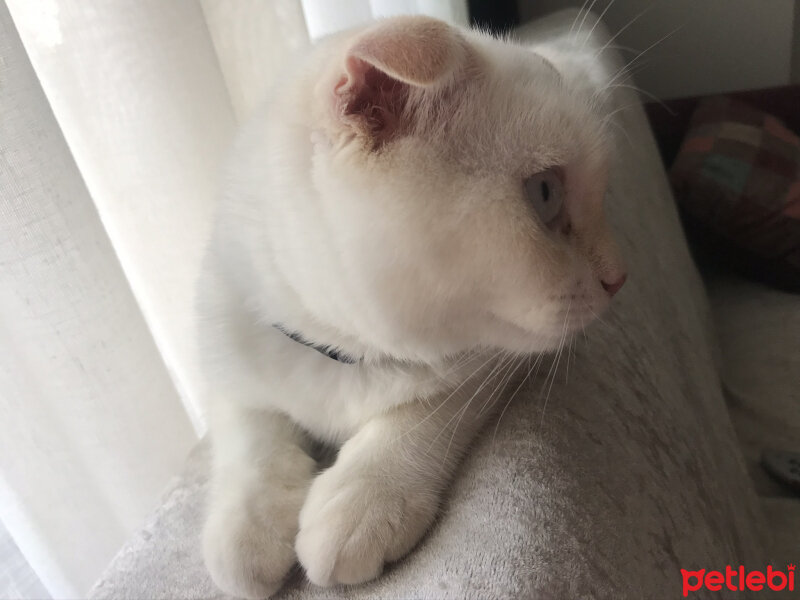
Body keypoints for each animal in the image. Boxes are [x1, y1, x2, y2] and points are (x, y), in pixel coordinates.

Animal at [198, 14, 624, 600]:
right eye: (545, 193)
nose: (619, 278)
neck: (341, 355)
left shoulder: (487, 367)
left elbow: (422, 414)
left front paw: (360, 502)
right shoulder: (227, 359)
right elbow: (251, 438)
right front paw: (244, 535)